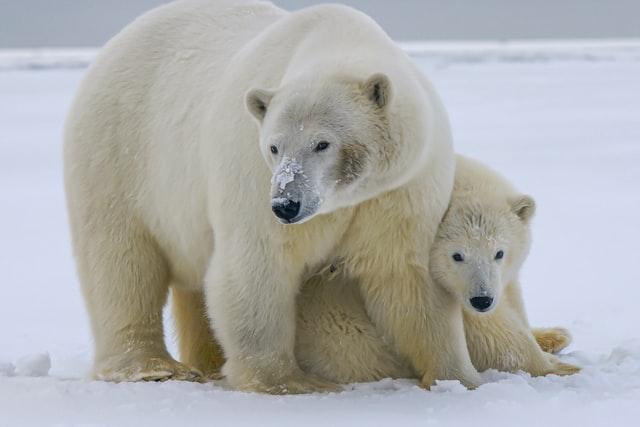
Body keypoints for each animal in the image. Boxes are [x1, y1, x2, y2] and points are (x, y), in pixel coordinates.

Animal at [64, 0, 481, 393]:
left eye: (322, 143)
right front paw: (290, 382)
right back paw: (151, 368)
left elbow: (406, 275)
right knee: (120, 259)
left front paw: (458, 378)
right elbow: (258, 265)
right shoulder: (251, 175)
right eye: (274, 146)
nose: (286, 204)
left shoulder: (400, 188)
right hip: (118, 151)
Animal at [292, 155, 580, 383]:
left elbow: (511, 300)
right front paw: (562, 368)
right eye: (457, 256)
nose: (482, 300)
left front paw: (553, 336)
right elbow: (487, 332)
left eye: (499, 253)